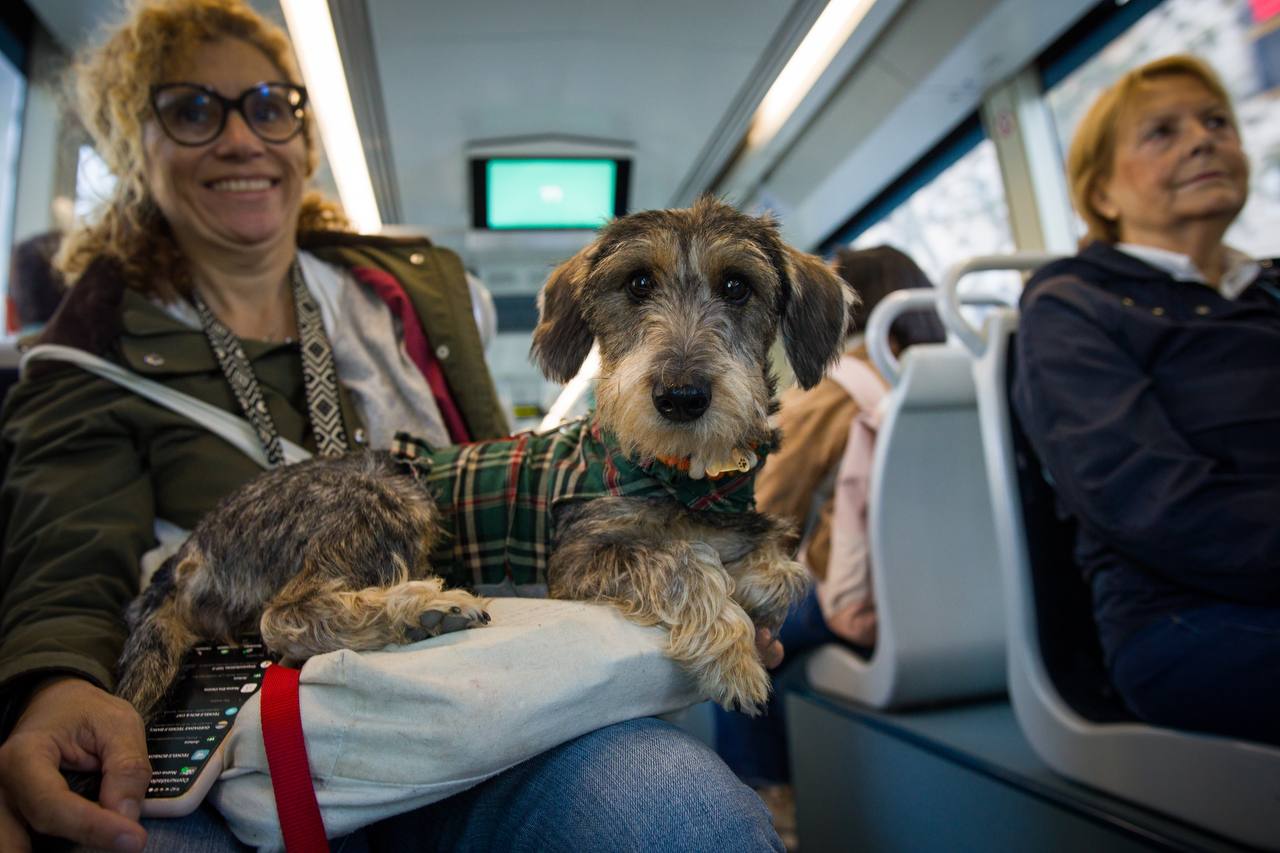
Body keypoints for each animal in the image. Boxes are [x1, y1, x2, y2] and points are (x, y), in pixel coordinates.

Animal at [120, 197, 855, 717]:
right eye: (638, 282)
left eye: (737, 287)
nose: (680, 396)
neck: (683, 476)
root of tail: (193, 548)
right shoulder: (579, 556)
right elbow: (680, 566)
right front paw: (734, 653)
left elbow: (784, 573)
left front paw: (752, 577)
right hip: (388, 493)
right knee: (285, 615)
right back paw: (420, 608)